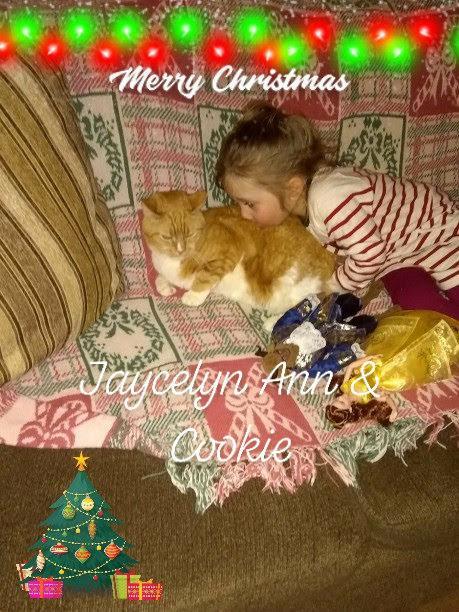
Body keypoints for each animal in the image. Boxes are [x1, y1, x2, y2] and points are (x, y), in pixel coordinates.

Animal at [142, 190, 336, 329]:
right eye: (166, 237)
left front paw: (192, 296)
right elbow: (161, 277)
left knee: (308, 303)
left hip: (291, 279)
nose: (180, 250)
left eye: (190, 234)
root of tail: (330, 258)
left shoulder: (229, 251)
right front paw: (165, 286)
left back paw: (272, 323)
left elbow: (205, 277)